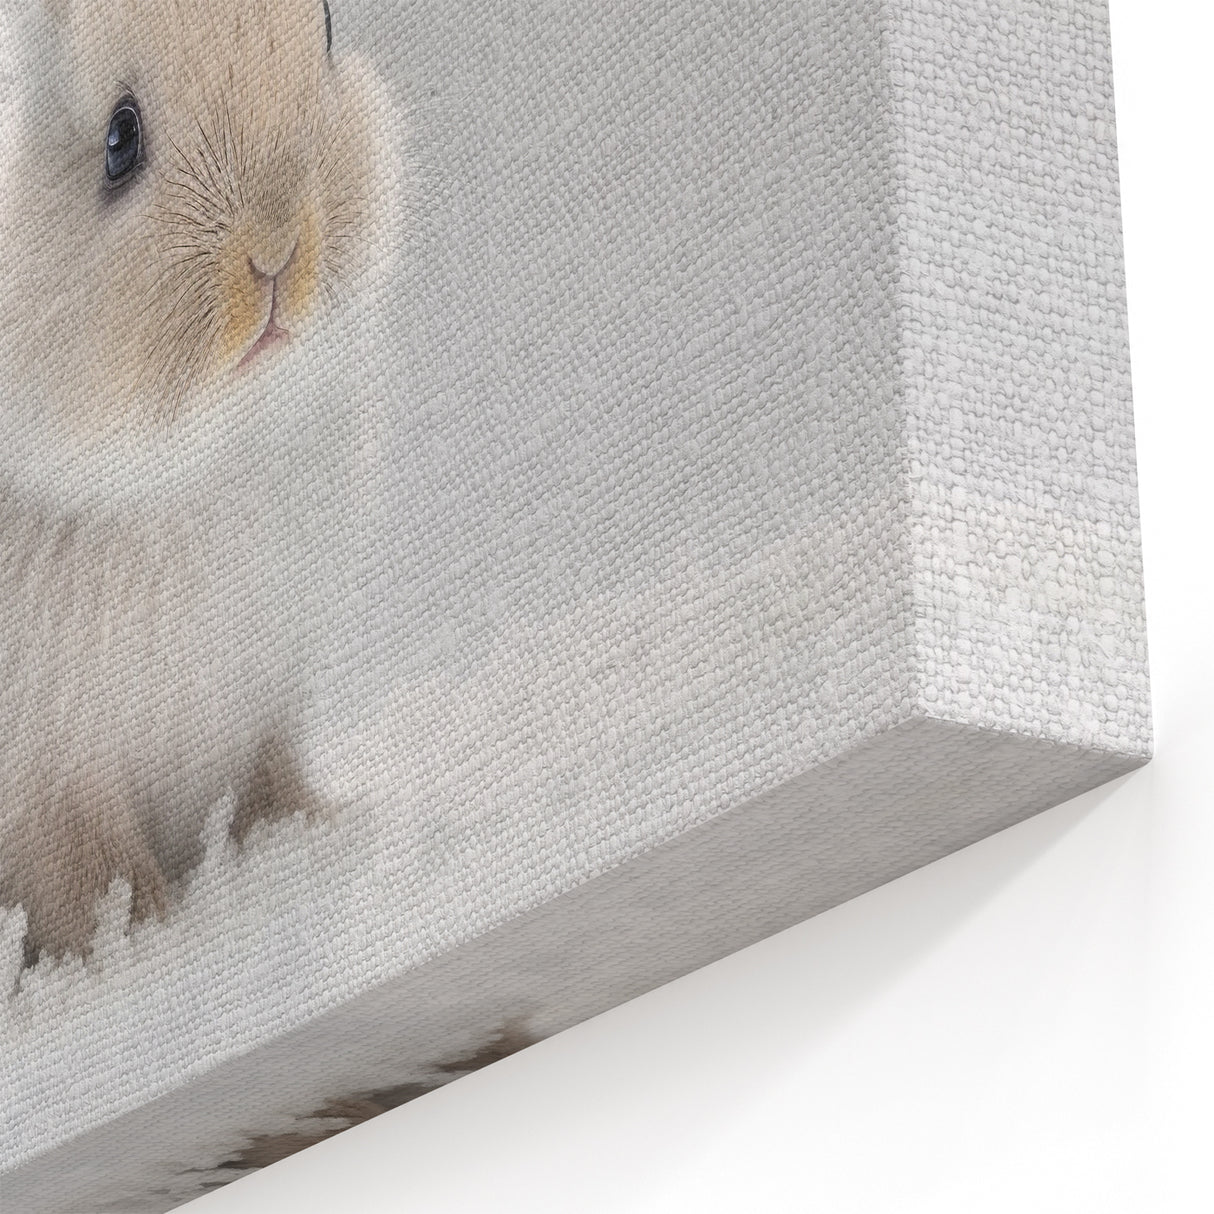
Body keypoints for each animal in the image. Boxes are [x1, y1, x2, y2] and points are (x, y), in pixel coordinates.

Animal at [0, 0, 402, 962]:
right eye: (120, 139)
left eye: (326, 37)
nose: (277, 248)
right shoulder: (49, 788)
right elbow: (90, 879)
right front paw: (142, 944)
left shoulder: (256, 708)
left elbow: (267, 788)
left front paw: (308, 838)